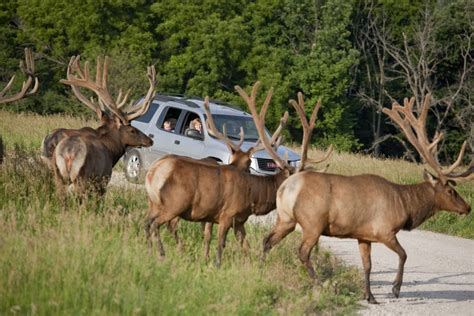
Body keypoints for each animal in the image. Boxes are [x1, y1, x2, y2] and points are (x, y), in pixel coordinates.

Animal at [51, 56, 156, 195]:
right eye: (132, 130)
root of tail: (68, 153)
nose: (150, 140)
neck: (111, 151)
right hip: (82, 178)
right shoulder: (103, 179)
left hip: (58, 176)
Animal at [262, 93, 472, 304]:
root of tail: (286, 187)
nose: (468, 207)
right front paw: (395, 288)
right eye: (451, 191)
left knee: (267, 240)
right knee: (302, 251)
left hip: (285, 218)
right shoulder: (384, 230)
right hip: (313, 222)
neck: (406, 206)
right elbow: (404, 255)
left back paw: (260, 266)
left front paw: (369, 295)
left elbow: (367, 265)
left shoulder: (363, 236)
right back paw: (319, 284)